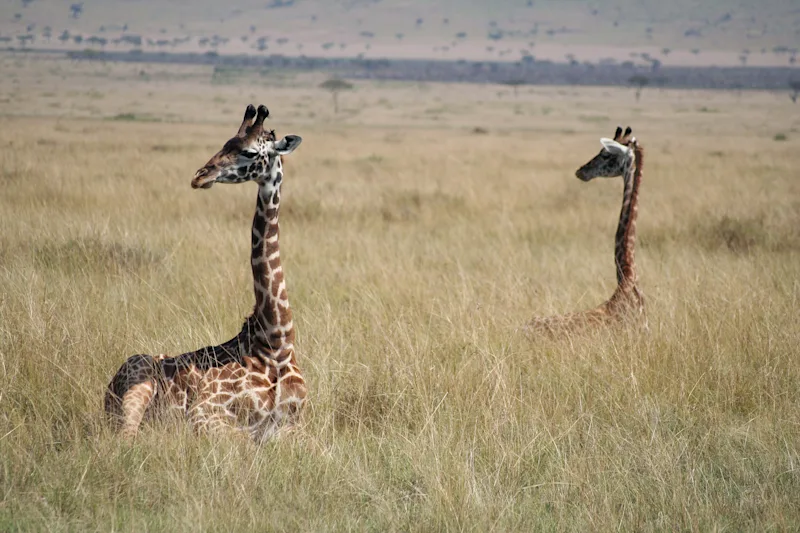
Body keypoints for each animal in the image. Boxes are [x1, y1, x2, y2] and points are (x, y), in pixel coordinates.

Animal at [105, 105, 307, 442]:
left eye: (249, 152)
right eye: (225, 143)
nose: (200, 176)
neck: (276, 341)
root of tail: (107, 389)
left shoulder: (299, 425)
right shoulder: (205, 413)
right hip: (137, 386)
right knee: (127, 437)